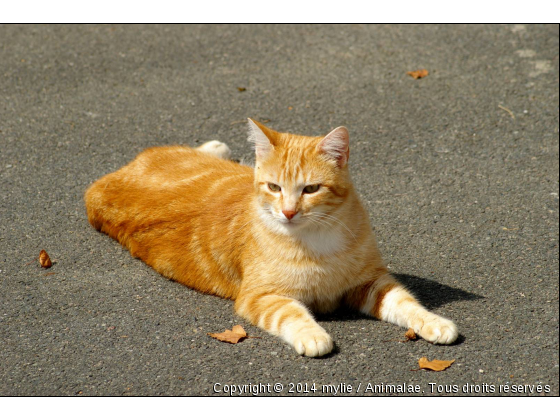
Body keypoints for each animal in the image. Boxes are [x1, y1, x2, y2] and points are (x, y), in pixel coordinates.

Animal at [85, 120, 458, 356]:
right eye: (274, 187)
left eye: (311, 189)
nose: (289, 212)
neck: (317, 239)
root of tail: (104, 181)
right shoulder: (260, 297)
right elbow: (291, 314)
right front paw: (313, 335)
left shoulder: (369, 283)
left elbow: (407, 304)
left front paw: (434, 322)